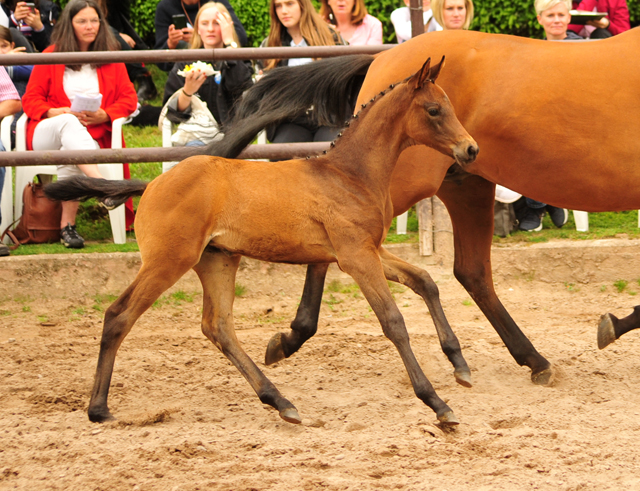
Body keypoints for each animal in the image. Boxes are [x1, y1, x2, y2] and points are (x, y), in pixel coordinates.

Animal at [43, 58, 476, 426]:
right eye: (434, 111)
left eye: (449, 106)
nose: (470, 149)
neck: (347, 174)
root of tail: (151, 185)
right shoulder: (356, 257)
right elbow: (394, 321)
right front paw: (437, 403)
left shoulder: (368, 250)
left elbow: (425, 281)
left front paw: (460, 365)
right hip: (168, 261)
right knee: (119, 315)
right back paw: (99, 409)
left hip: (217, 260)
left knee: (217, 327)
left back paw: (280, 401)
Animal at [212, 29, 640, 392]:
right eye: (434, 109)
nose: (471, 145)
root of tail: (382, 57)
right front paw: (617, 324)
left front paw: (615, 324)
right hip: (402, 187)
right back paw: (292, 337)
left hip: (466, 185)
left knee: (472, 273)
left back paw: (533, 360)